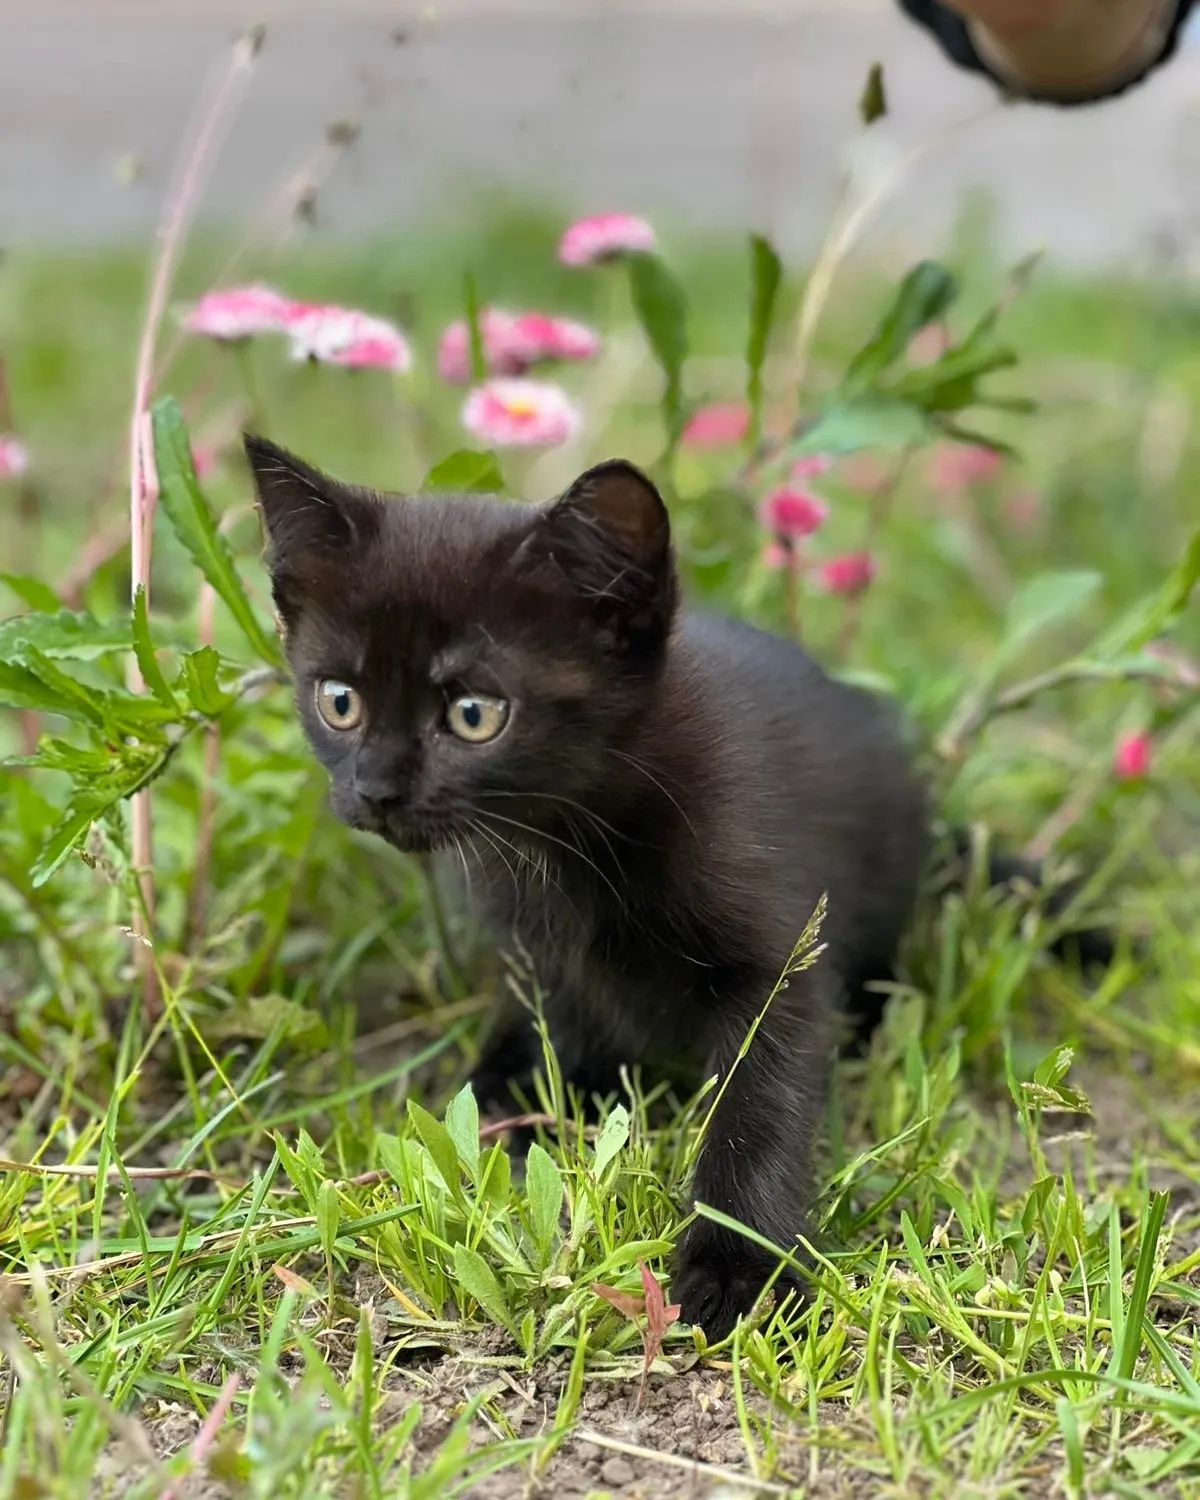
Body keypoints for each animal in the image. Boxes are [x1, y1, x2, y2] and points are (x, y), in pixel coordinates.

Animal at [246, 435, 930, 1338]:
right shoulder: (534, 942)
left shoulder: (781, 949)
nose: (378, 790)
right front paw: (503, 1100)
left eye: (474, 714)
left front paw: (737, 1266)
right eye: (340, 702)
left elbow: (760, 1100)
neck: (568, 843)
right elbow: (550, 1017)